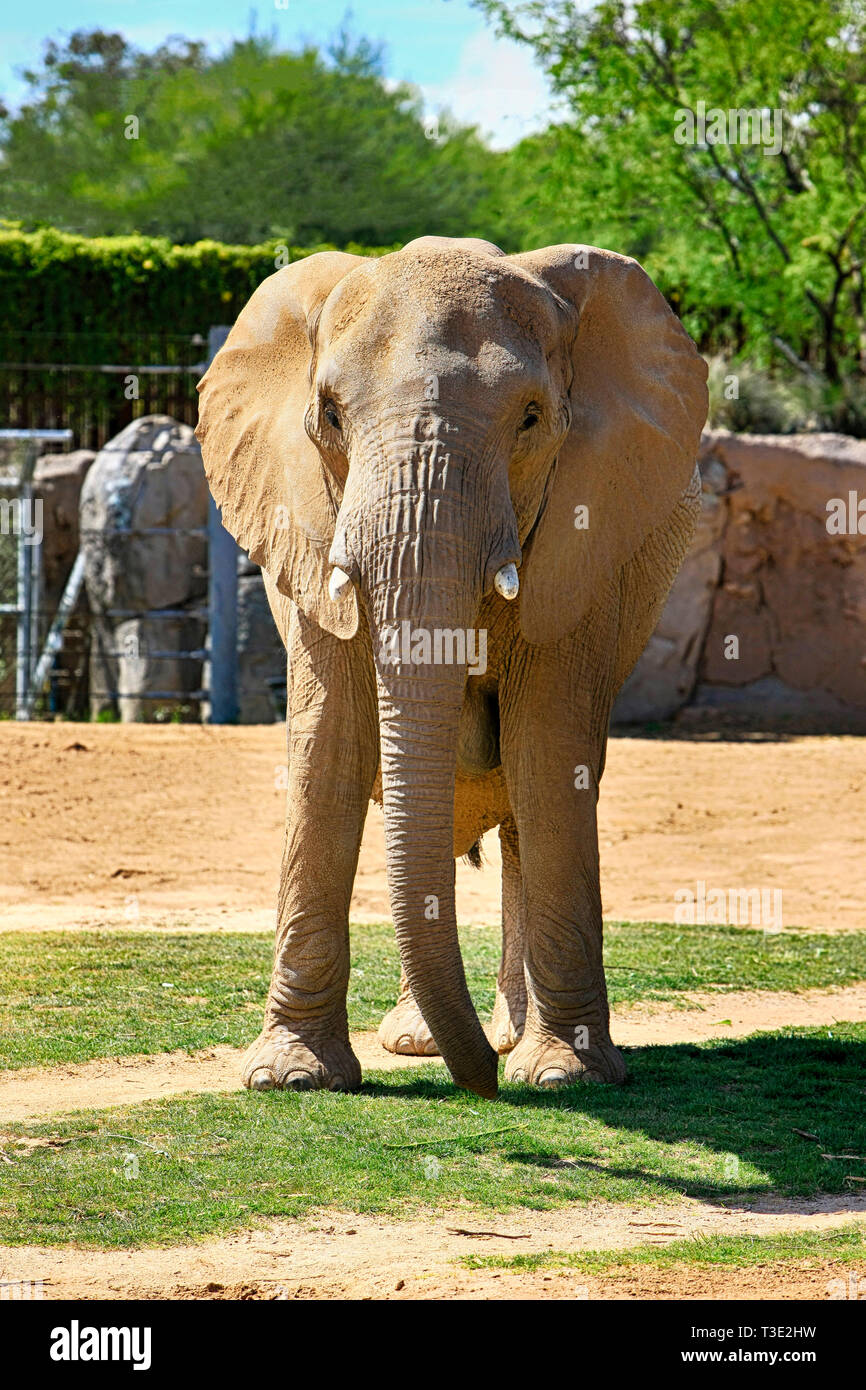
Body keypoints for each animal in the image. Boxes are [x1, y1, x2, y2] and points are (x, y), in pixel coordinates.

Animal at [198, 241, 711, 1106]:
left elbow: (549, 756)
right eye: (329, 414)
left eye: (531, 419)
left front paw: (566, 1077)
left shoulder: (582, 542)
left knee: (525, 811)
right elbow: (330, 751)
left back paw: (511, 1041)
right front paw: (290, 1077)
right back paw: (419, 1043)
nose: (488, 1090)